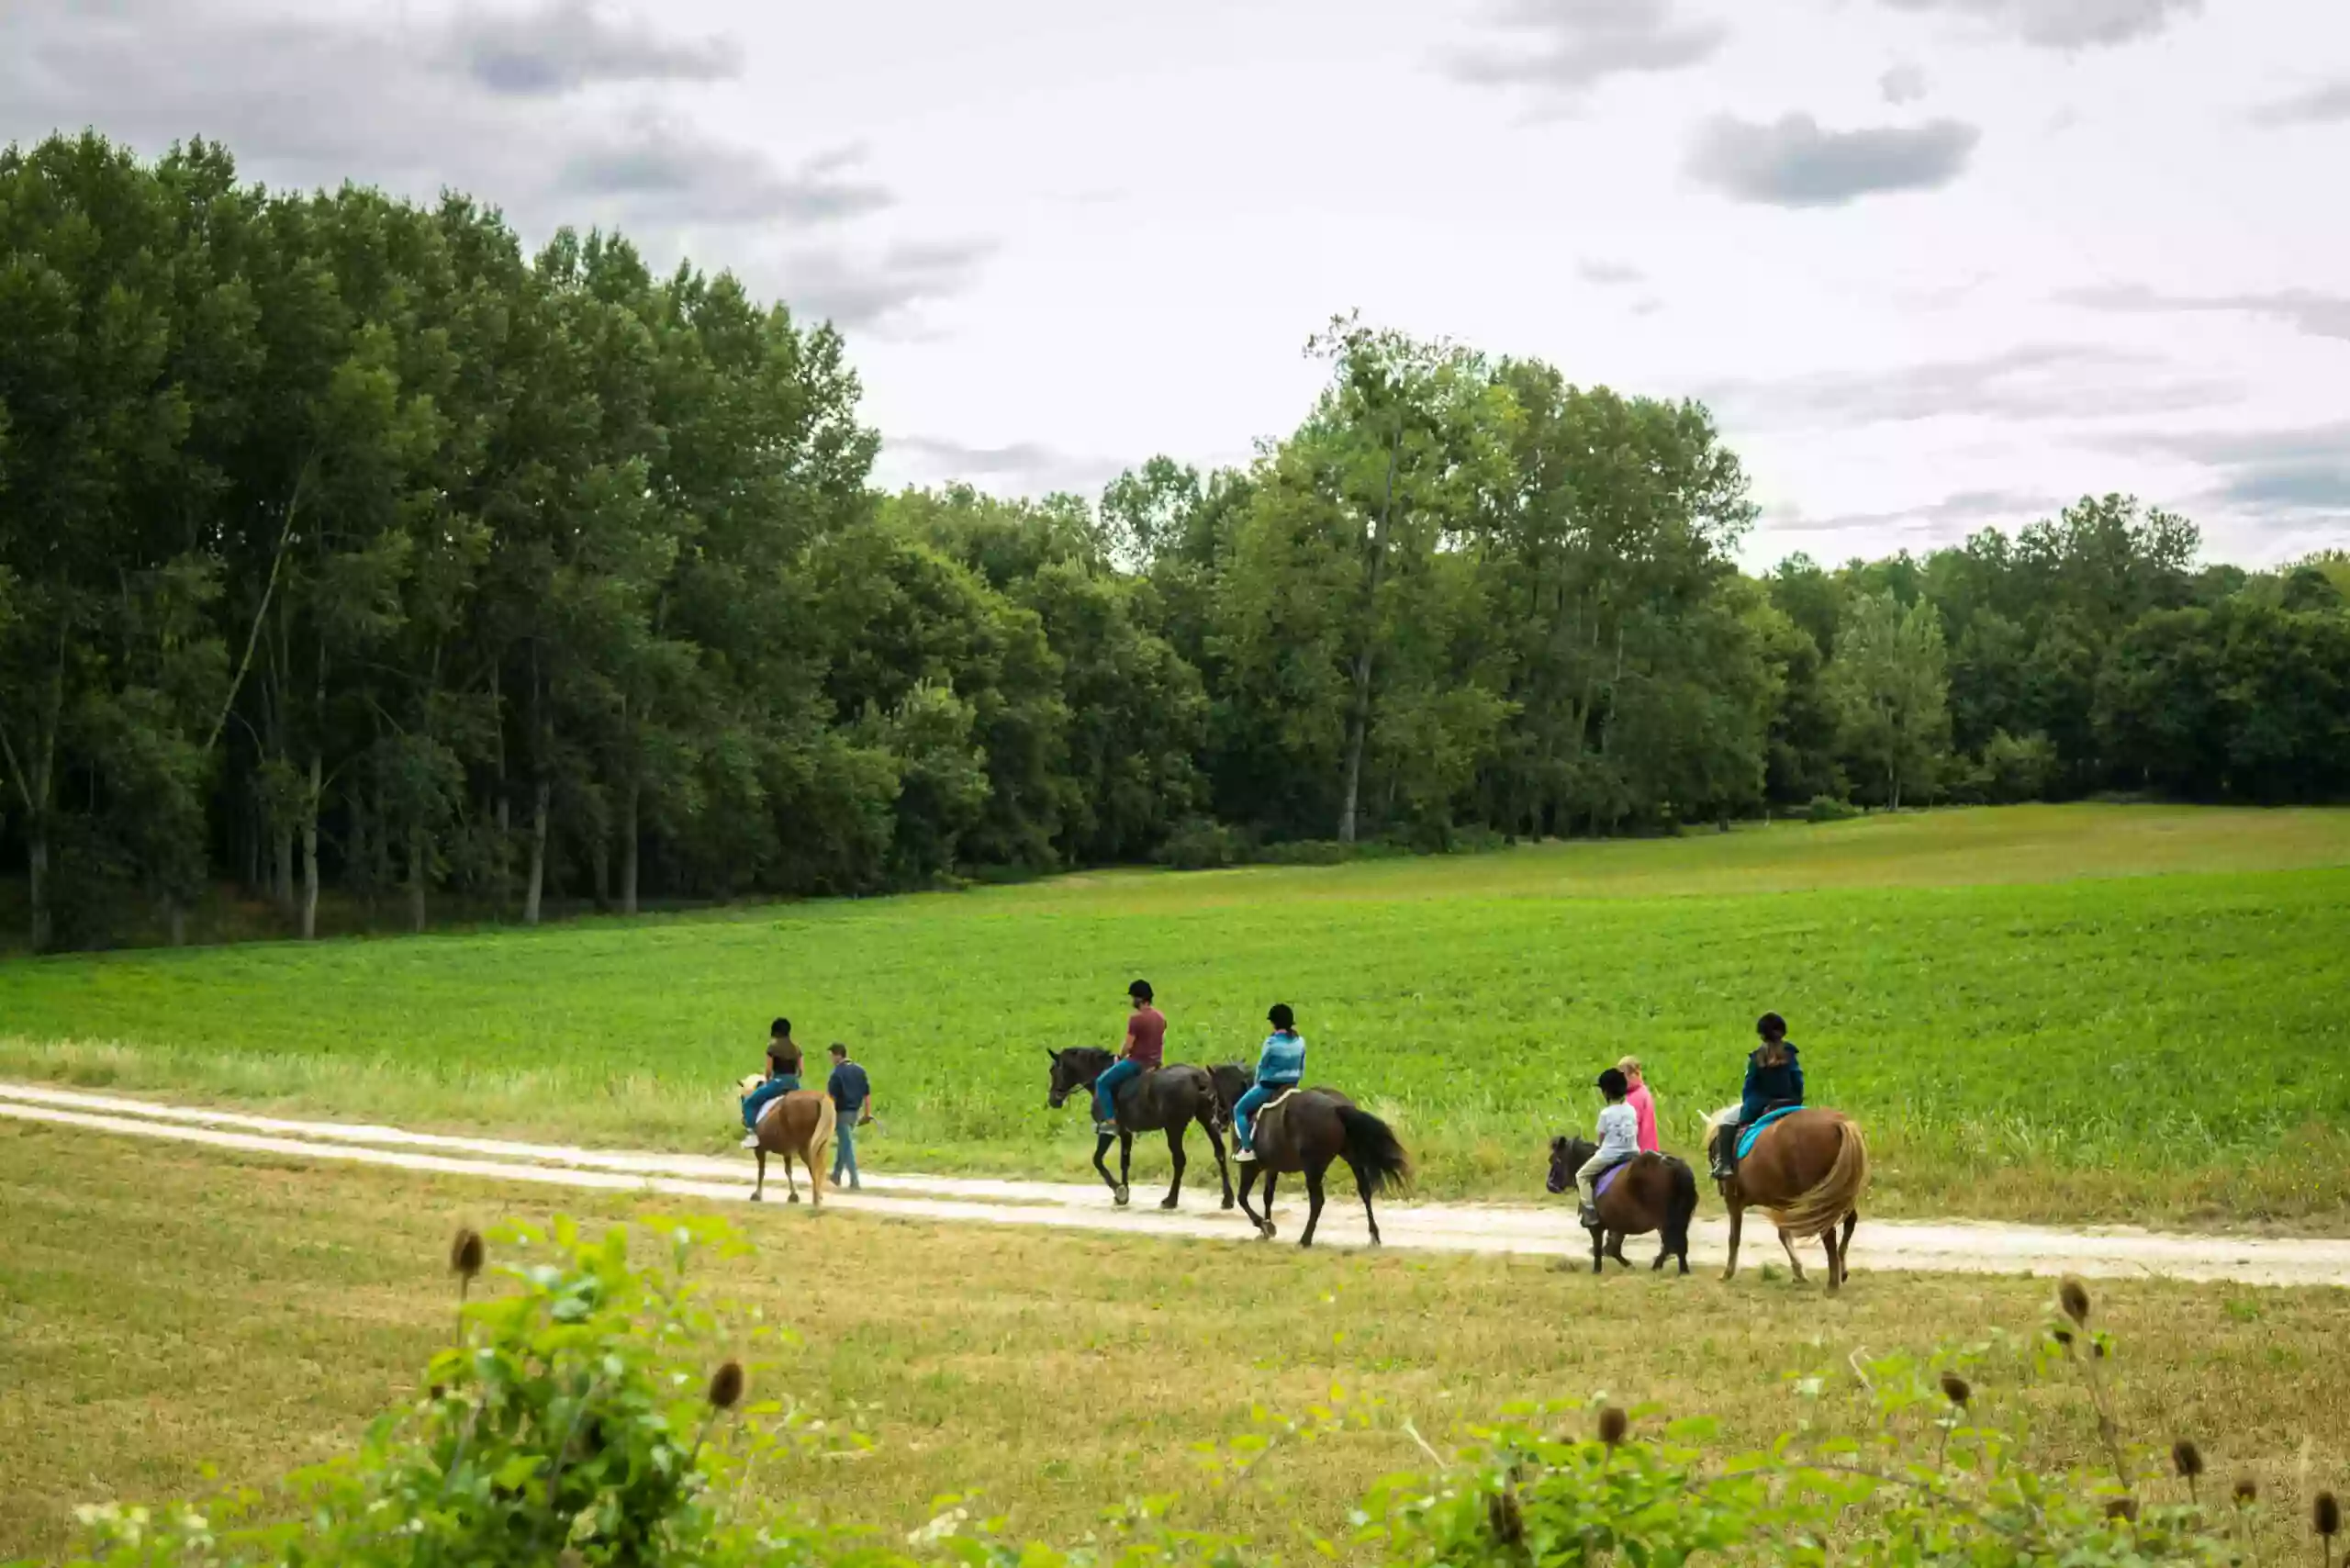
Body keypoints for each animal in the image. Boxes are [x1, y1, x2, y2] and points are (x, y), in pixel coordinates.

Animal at [742, 1081, 845, 1213]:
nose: (743, 1120)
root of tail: (821, 1097)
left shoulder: (760, 1149)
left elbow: (761, 1171)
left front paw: (757, 1195)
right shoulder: (787, 1151)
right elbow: (788, 1171)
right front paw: (793, 1196)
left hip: (805, 1148)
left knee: (814, 1169)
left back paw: (816, 1201)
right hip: (821, 1145)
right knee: (819, 1168)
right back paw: (819, 1198)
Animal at [1043, 1053, 1231, 1213]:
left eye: (1053, 1070)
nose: (1053, 1100)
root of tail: (1195, 1077)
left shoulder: (1108, 1132)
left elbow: (1097, 1160)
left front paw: (1119, 1191)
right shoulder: (1126, 1133)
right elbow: (1124, 1162)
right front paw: (1123, 1194)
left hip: (1174, 1128)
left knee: (1179, 1160)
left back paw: (1170, 1200)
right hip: (1207, 1120)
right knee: (1220, 1152)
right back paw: (1227, 1199)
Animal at [1231, 1091, 1410, 1250]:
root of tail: (1336, 1107)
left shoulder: (1250, 1166)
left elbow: (1242, 1198)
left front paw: (1264, 1226)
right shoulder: (1272, 1167)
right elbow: (1267, 1197)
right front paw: (1267, 1229)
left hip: (1313, 1167)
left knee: (1317, 1201)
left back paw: (1305, 1240)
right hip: (1353, 1158)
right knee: (1365, 1191)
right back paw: (1374, 1236)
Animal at [1541, 1142, 1692, 1279]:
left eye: (1555, 1160)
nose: (1550, 1185)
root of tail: (1673, 1165)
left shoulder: (1598, 1226)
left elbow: (1600, 1247)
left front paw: (1597, 1271)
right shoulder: (1618, 1223)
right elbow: (1613, 1248)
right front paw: (1630, 1266)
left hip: (1665, 1219)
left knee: (1671, 1243)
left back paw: (1663, 1267)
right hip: (1678, 1218)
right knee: (1677, 1243)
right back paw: (1680, 1270)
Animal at [1710, 1104, 1870, 1288]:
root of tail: (1838, 1123)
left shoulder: (1734, 1201)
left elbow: (1734, 1238)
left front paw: (1727, 1273)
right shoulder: (1782, 1204)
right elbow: (1784, 1236)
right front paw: (1799, 1273)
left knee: (1828, 1232)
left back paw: (1833, 1284)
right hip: (1840, 1194)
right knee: (1850, 1222)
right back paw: (1841, 1271)